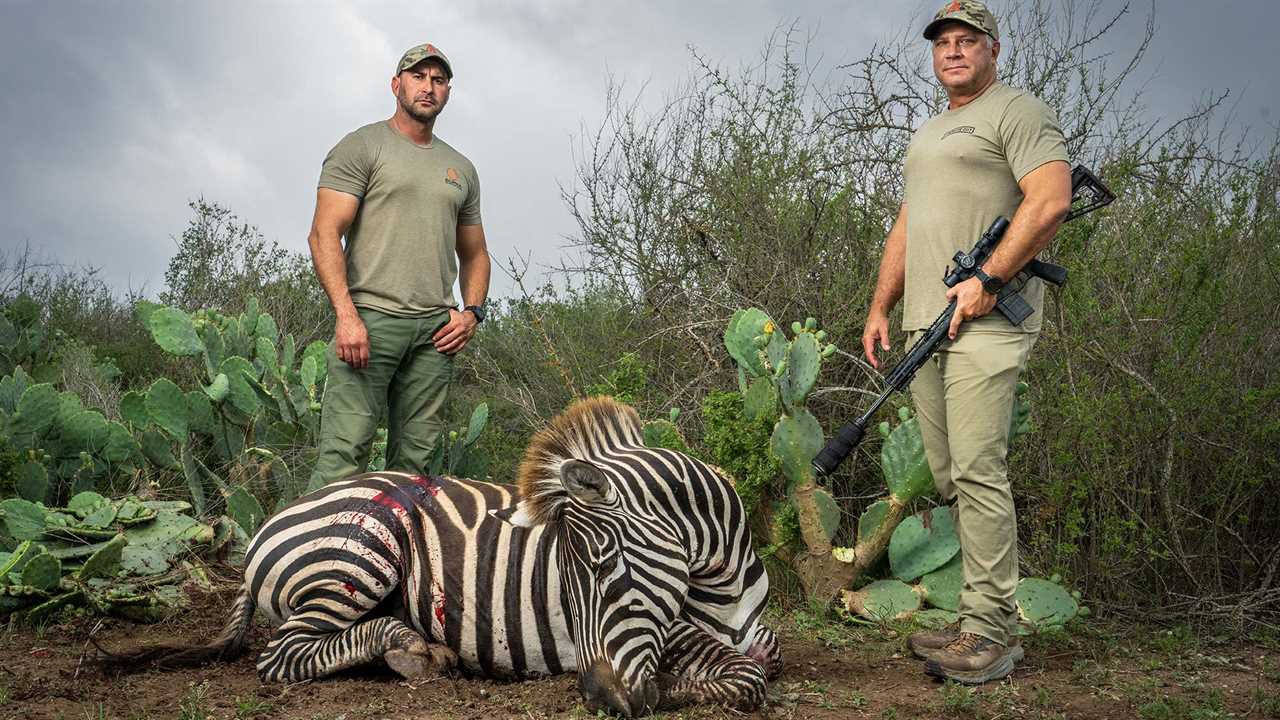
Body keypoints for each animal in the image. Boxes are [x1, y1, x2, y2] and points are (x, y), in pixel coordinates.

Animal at [102, 394, 778, 712]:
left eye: (603, 564)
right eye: (572, 577)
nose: (599, 699)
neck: (722, 585)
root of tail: (280, 515)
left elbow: (761, 661)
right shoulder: (676, 633)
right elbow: (744, 677)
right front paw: (675, 686)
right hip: (359, 553)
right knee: (285, 654)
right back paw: (413, 649)